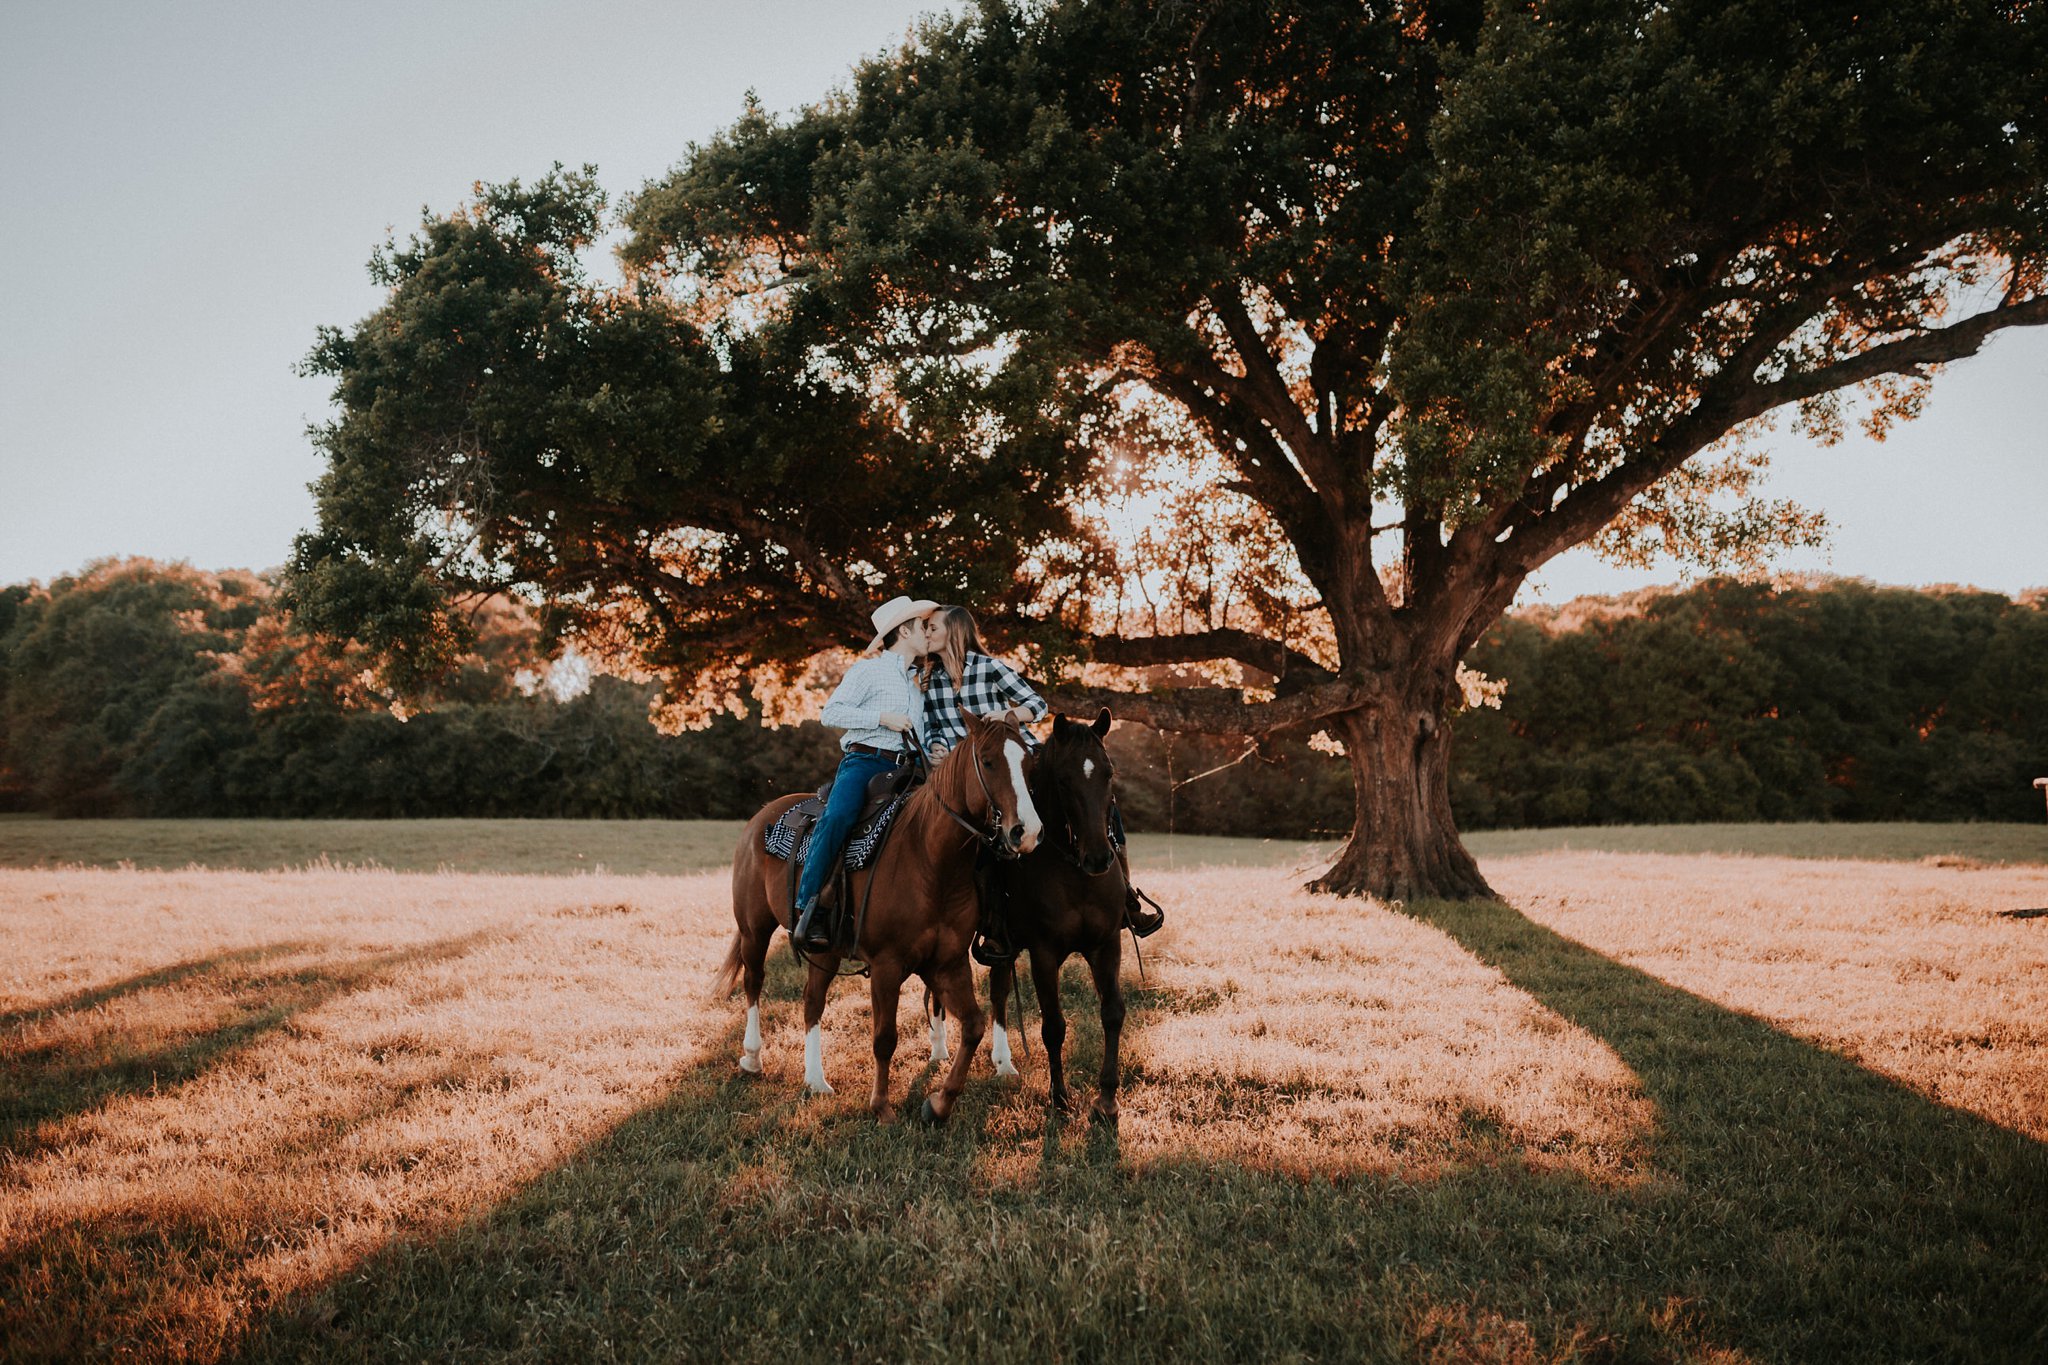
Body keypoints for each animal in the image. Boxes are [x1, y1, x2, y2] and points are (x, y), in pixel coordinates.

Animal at [716, 716, 1040, 1121]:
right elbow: (885, 1038)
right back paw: (752, 1058)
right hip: (754, 929)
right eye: (989, 761)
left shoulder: (947, 963)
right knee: (754, 982)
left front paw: (938, 1104)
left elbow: (973, 1026)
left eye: (1028, 763)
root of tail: (765, 812)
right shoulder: (887, 965)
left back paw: (815, 1080)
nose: (1026, 832)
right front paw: (882, 1107)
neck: (929, 860)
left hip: (824, 950)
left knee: (812, 1001)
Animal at [983, 712, 1130, 1129]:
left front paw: (1106, 1100)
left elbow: (1112, 1013)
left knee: (999, 989)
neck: (1074, 872)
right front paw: (1060, 1097)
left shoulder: (1106, 945)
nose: (1098, 858)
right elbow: (1053, 1026)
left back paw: (1004, 1064)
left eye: (1109, 773)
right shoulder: (1044, 954)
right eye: (1063, 780)